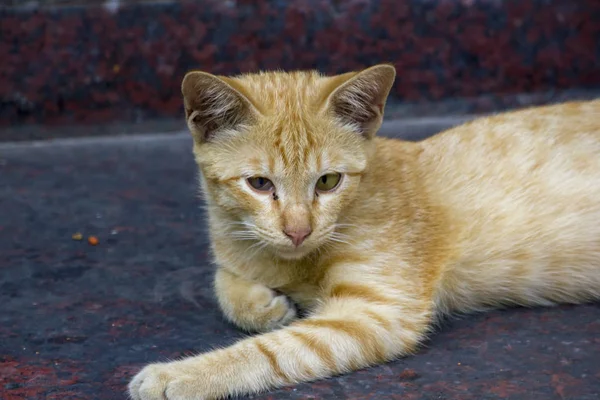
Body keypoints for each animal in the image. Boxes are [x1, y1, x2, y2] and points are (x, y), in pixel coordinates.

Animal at [127, 64, 600, 398]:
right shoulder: (235, 252)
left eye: (328, 181)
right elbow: (224, 280)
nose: (298, 231)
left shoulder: (376, 313)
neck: (294, 264)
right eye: (259, 184)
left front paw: (183, 375)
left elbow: (274, 351)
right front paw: (263, 305)